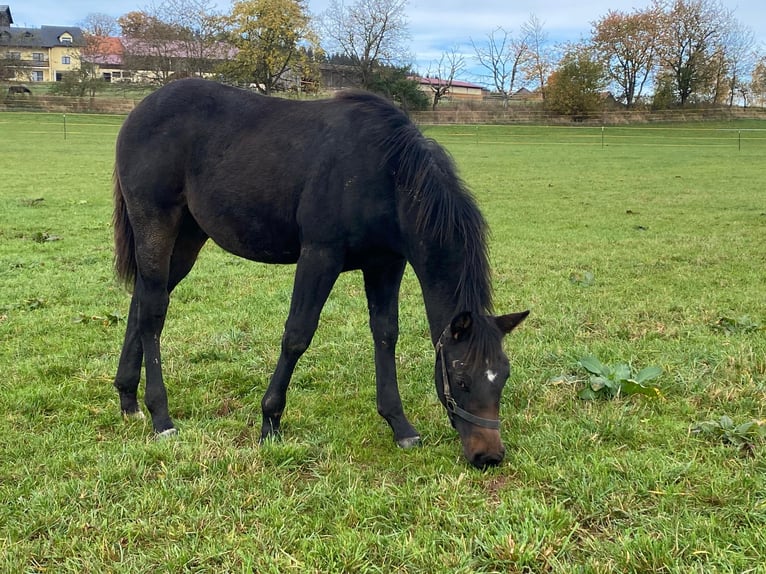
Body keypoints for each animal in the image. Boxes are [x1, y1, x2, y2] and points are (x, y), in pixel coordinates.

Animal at [111, 79, 528, 470]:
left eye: (504, 376)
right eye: (461, 379)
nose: (489, 455)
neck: (387, 174)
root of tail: (141, 110)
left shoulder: (385, 264)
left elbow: (385, 334)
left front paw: (400, 425)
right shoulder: (319, 256)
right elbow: (297, 335)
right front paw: (270, 421)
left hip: (188, 237)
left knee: (144, 299)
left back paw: (128, 398)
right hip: (157, 225)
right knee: (153, 312)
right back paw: (161, 416)